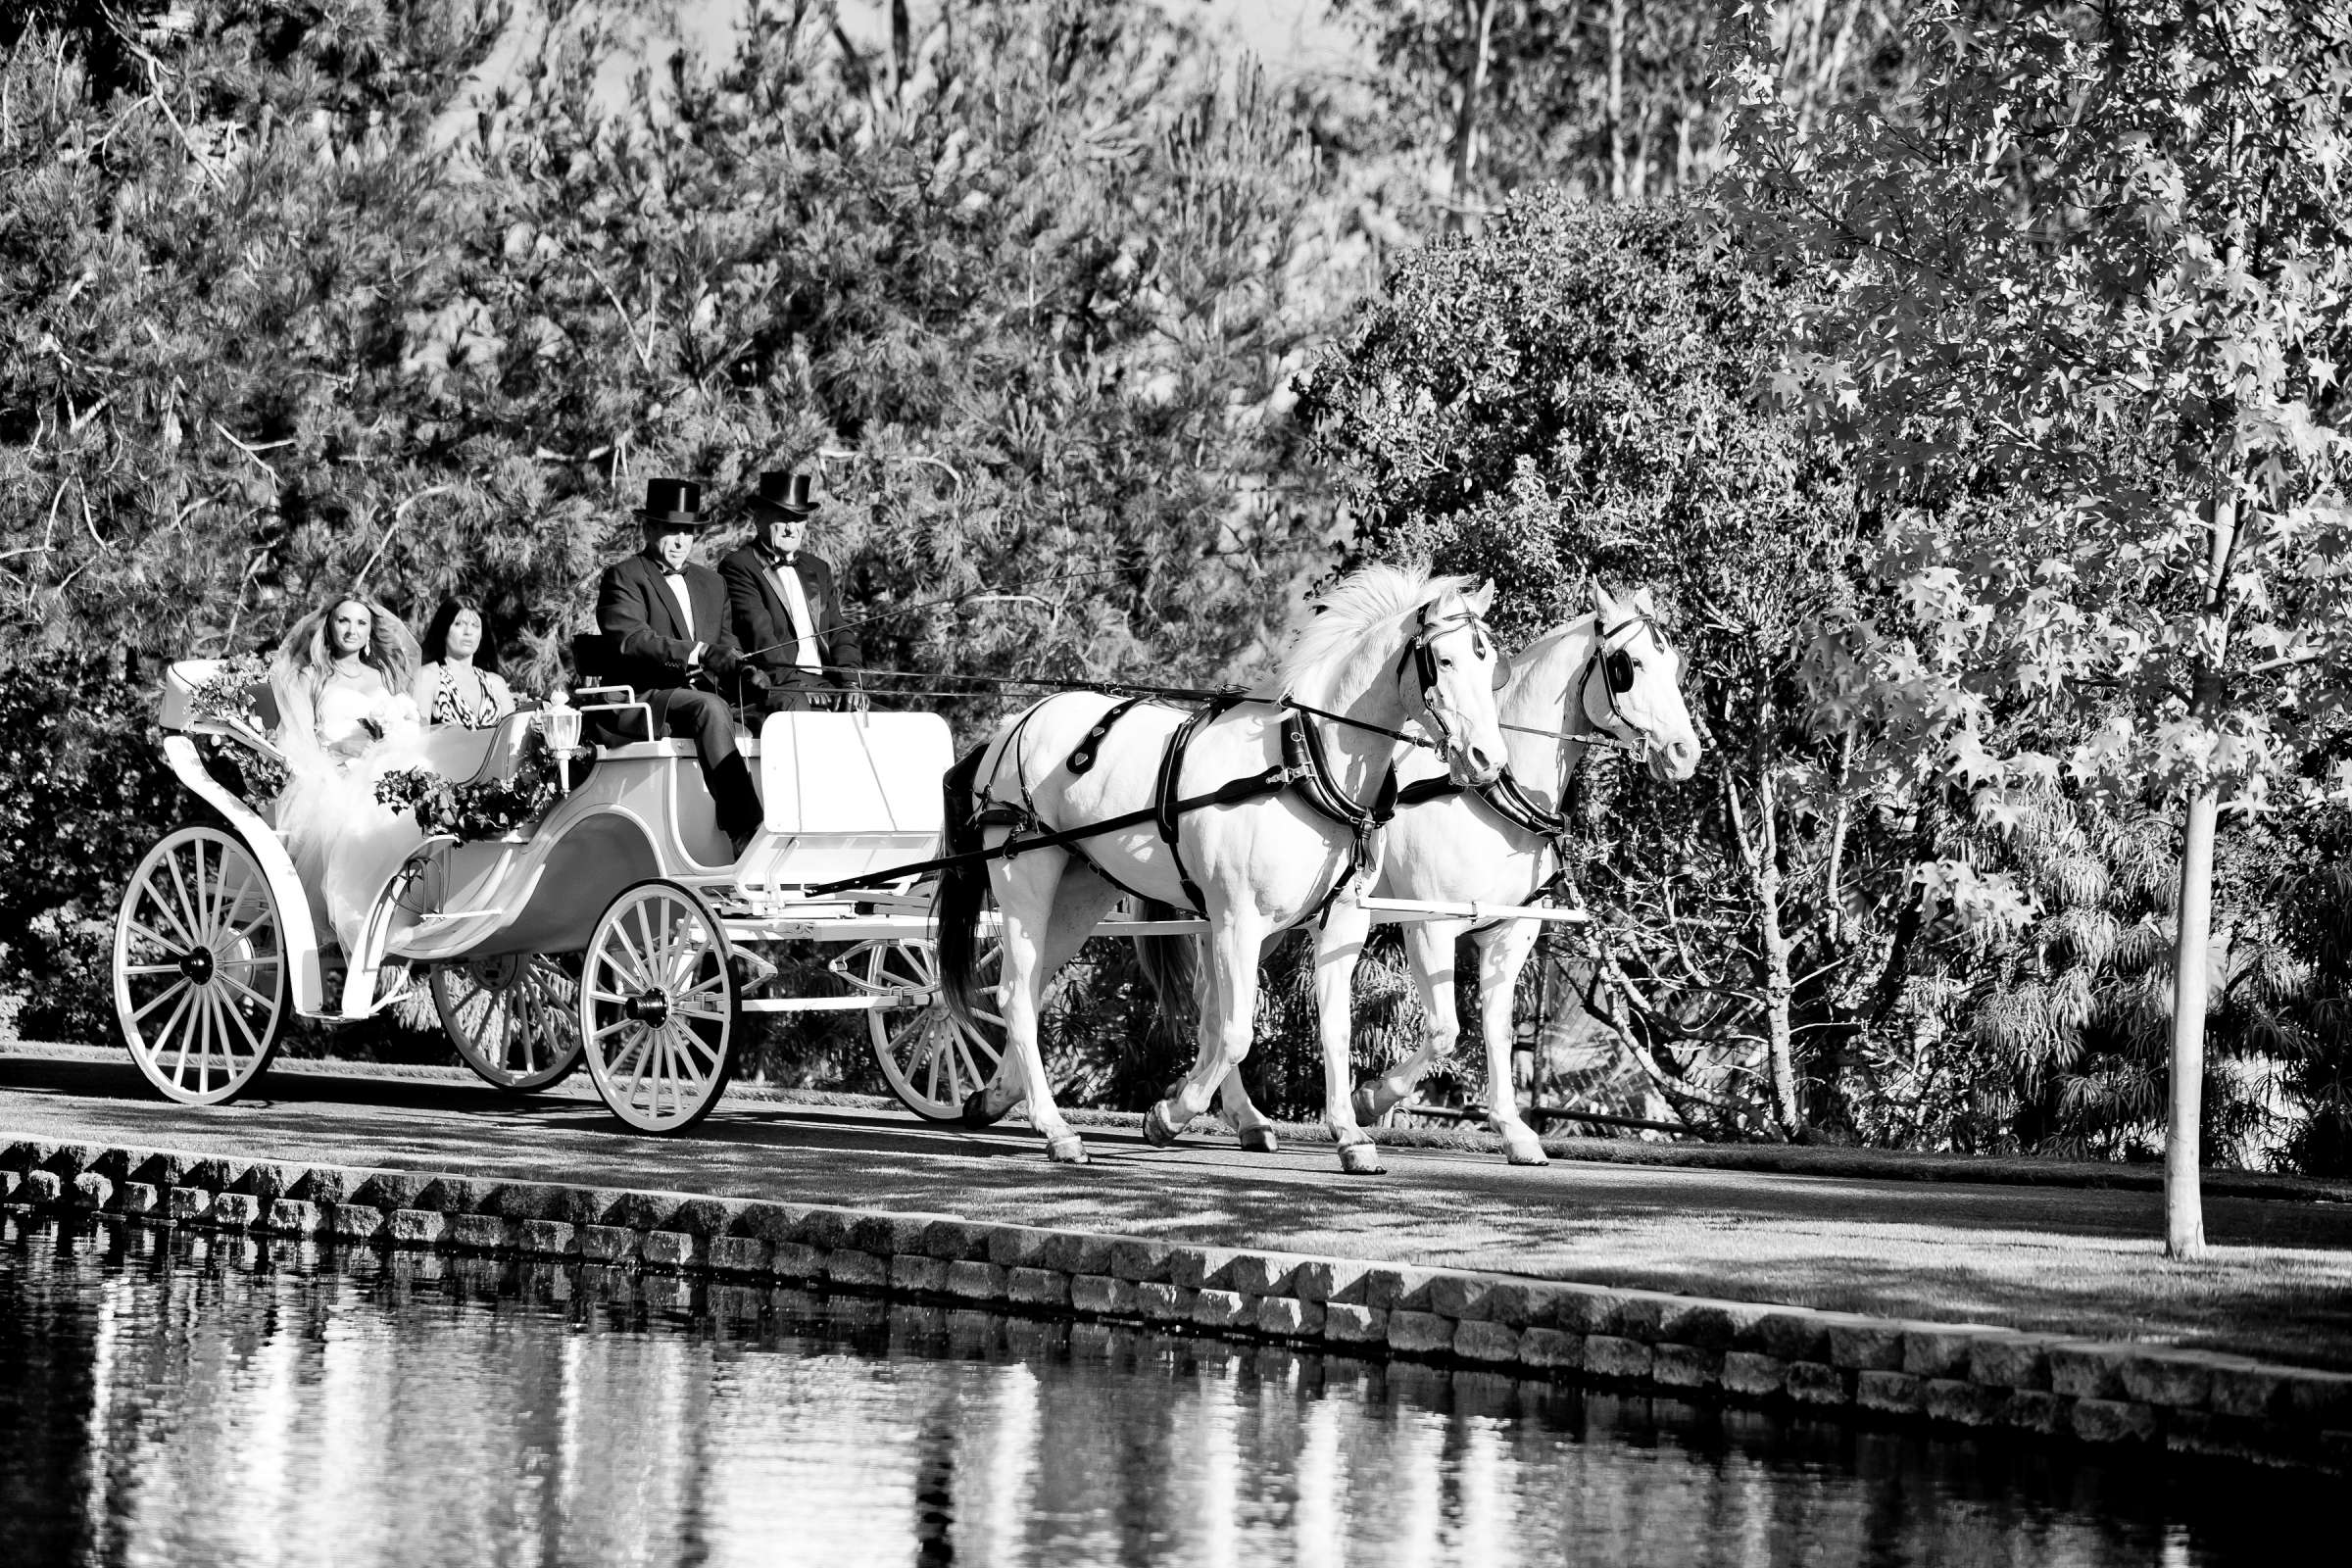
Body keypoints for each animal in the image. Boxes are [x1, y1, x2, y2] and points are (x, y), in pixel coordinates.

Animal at [936, 564, 1505, 1165]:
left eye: (1490, 664)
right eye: (1445, 660)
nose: (1488, 761)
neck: (1304, 762)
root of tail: (1013, 723)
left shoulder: (1340, 920)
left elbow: (1331, 1028)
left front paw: (1350, 1133)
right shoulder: (1237, 918)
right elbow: (1233, 1032)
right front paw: (1169, 1115)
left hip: (1079, 893)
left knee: (1032, 984)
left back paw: (998, 1096)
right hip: (1025, 880)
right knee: (1013, 993)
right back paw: (1055, 1128)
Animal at [1185, 585, 1702, 1165]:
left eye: (1675, 664)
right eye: (1630, 665)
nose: (1685, 752)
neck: (1493, 795)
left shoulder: (1512, 931)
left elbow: (1497, 1030)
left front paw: (1513, 1129)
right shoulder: (1430, 924)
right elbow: (1445, 1030)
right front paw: (1372, 1098)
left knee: (1214, 1001)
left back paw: (1229, 1112)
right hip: (1252, 917)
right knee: (1215, 1002)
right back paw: (1231, 1111)